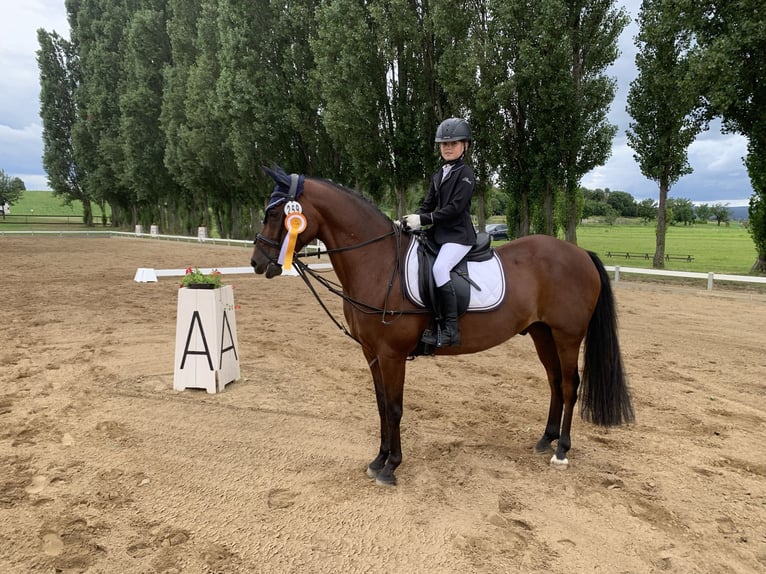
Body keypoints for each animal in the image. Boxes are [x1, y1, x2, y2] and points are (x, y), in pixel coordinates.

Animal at [252, 165, 636, 486]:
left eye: (275, 213)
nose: (258, 262)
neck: (378, 264)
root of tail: (580, 253)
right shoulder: (372, 353)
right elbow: (381, 405)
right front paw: (377, 460)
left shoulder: (391, 355)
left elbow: (395, 407)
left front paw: (391, 467)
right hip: (543, 333)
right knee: (555, 382)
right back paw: (545, 439)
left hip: (567, 336)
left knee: (570, 385)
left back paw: (561, 451)